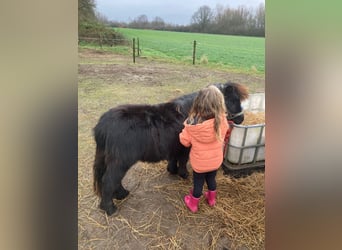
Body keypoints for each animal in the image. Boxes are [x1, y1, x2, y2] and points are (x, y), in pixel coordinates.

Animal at [93, 82, 248, 215]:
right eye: (233, 100)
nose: (241, 119)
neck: (191, 111)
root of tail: (103, 125)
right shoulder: (185, 148)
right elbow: (183, 161)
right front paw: (183, 174)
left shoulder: (175, 147)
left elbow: (173, 159)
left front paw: (172, 171)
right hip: (121, 161)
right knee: (109, 180)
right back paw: (110, 208)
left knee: (112, 179)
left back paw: (121, 194)